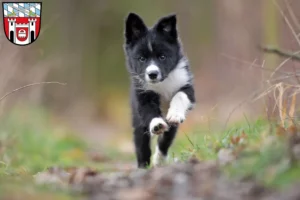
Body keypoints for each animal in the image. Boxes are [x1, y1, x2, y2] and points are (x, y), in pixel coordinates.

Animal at [123, 12, 196, 168]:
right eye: (141, 58)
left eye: (162, 57)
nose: (152, 74)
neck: (163, 82)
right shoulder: (142, 95)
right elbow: (149, 111)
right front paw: (156, 124)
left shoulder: (187, 86)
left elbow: (180, 95)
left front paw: (175, 114)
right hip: (137, 122)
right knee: (142, 145)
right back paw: (143, 167)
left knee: (165, 140)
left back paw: (159, 160)